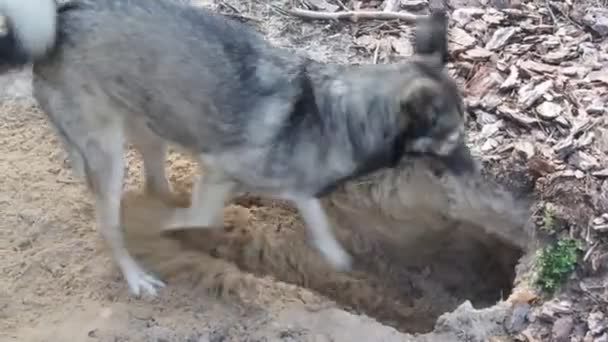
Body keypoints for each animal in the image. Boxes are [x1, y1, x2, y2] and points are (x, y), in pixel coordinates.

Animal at [0, 0, 476, 296]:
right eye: (454, 140)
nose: (475, 174)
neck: (339, 115)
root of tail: (63, 19)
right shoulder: (218, 169)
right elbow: (203, 213)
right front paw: (167, 226)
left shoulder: (295, 186)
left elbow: (317, 219)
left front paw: (334, 254)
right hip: (109, 153)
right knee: (110, 223)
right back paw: (137, 271)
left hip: (152, 124)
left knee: (155, 182)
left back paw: (164, 204)